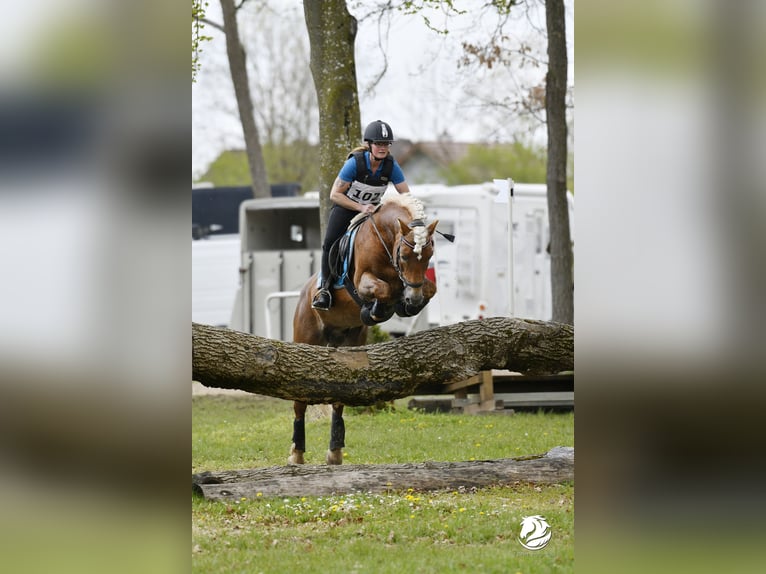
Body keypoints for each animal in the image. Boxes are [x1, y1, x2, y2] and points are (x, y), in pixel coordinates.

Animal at [290, 196, 444, 466]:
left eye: (429, 254)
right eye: (405, 256)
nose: (413, 301)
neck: (384, 239)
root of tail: (304, 293)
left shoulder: (416, 283)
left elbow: (429, 288)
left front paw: (405, 305)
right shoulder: (363, 282)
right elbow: (383, 290)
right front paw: (377, 310)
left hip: (348, 345)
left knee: (339, 398)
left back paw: (335, 452)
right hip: (306, 338)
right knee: (299, 403)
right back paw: (296, 454)